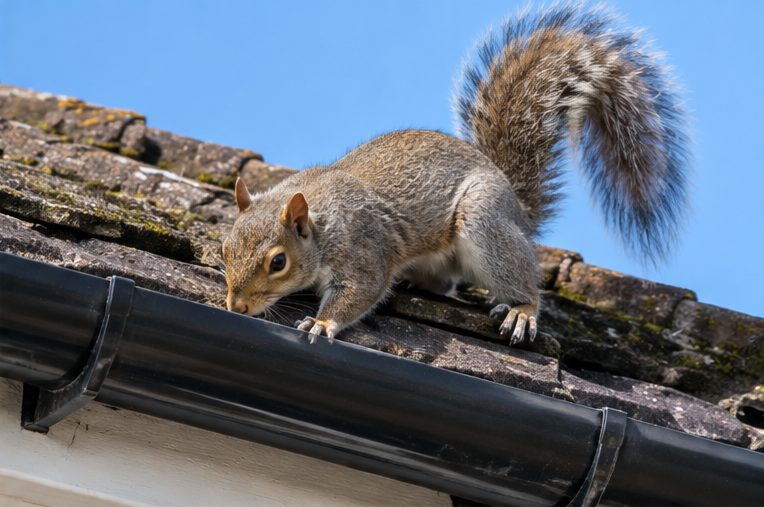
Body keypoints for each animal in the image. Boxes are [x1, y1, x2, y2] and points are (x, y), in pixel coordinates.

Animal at [222, 3, 689, 344]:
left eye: (278, 262)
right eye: (225, 249)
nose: (235, 308)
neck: (321, 221)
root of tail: (515, 204)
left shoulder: (364, 251)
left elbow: (361, 291)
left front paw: (322, 324)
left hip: (485, 220)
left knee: (521, 280)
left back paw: (521, 310)